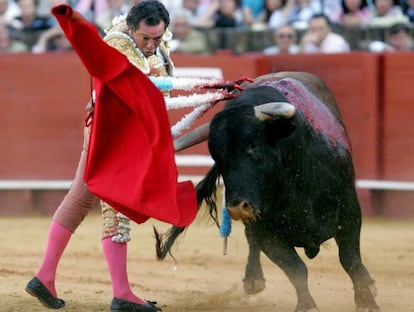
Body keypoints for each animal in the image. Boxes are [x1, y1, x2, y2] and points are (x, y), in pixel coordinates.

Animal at [156, 72, 382, 310]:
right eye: (217, 156)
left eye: (253, 145)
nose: (237, 207)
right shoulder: (265, 230)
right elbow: (295, 268)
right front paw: (307, 305)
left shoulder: (349, 211)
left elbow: (350, 260)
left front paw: (366, 302)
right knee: (252, 240)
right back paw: (253, 279)